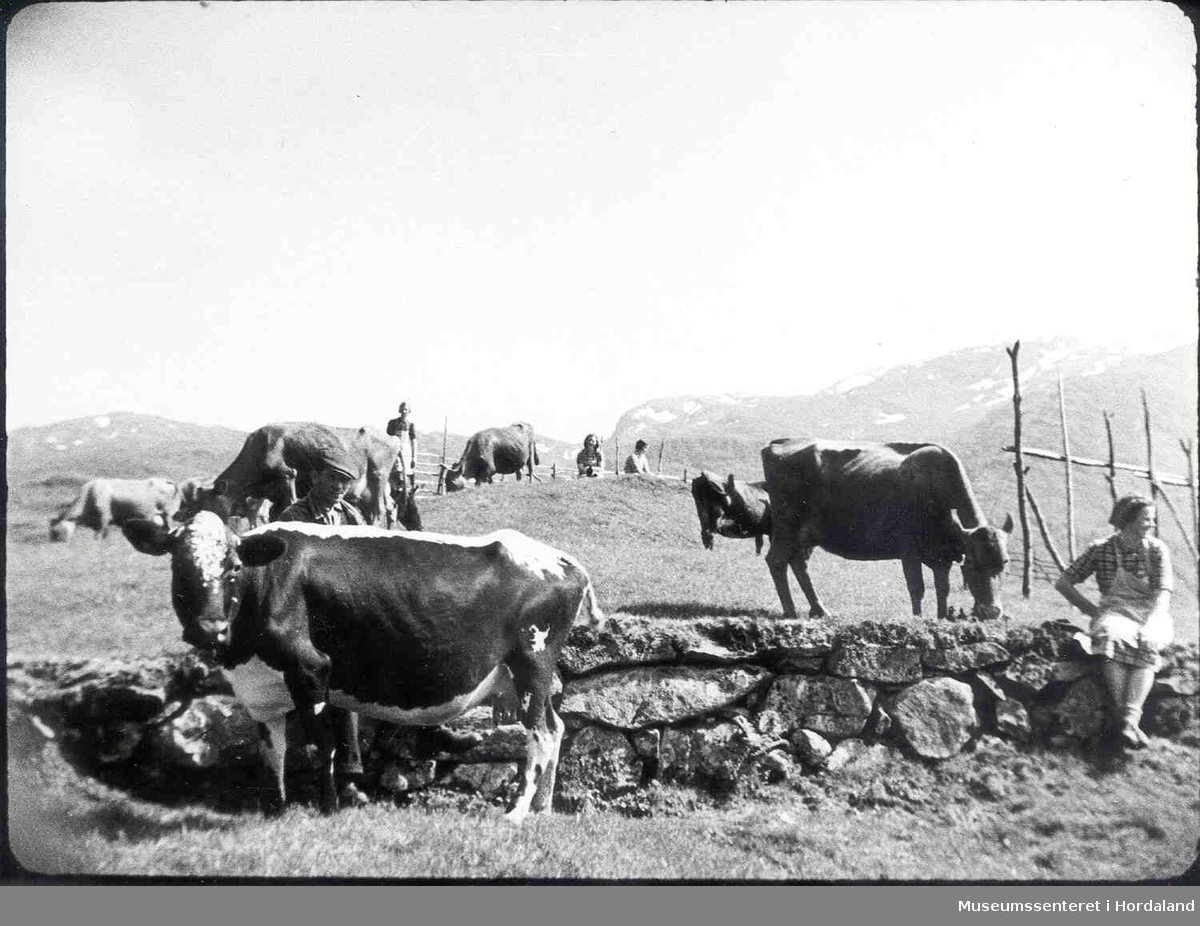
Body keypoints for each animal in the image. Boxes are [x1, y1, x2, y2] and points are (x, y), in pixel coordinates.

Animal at [51, 477, 180, 542]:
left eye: (54, 531)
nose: (55, 543)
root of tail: (163, 480)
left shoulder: (104, 514)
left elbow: (100, 530)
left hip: (168, 513)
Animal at [121, 513, 600, 825]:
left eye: (234, 567)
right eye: (177, 566)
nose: (208, 628)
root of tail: (565, 560)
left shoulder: (311, 669)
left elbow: (321, 746)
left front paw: (327, 806)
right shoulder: (266, 689)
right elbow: (272, 751)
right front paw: (276, 808)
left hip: (532, 661)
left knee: (540, 733)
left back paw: (517, 812)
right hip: (523, 674)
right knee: (557, 728)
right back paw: (543, 808)